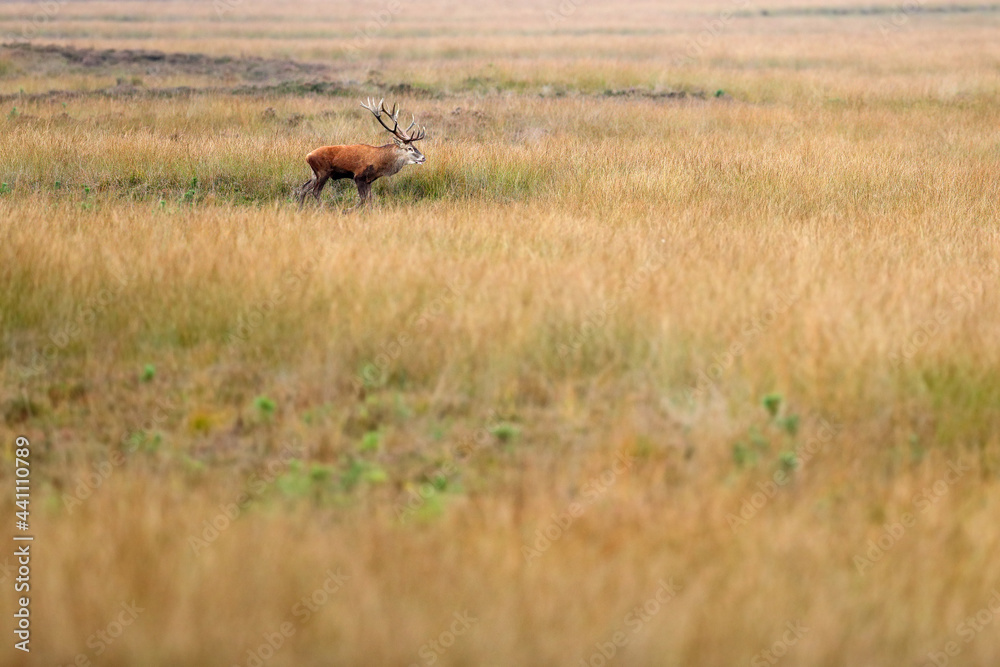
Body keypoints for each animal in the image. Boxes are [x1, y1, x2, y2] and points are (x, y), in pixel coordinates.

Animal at [297, 98, 427, 209]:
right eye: (410, 148)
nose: (423, 158)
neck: (380, 163)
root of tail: (307, 156)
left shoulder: (369, 180)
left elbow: (369, 199)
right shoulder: (358, 176)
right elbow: (363, 199)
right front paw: (347, 210)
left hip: (314, 174)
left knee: (304, 188)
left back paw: (300, 209)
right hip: (323, 172)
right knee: (315, 192)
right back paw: (324, 208)